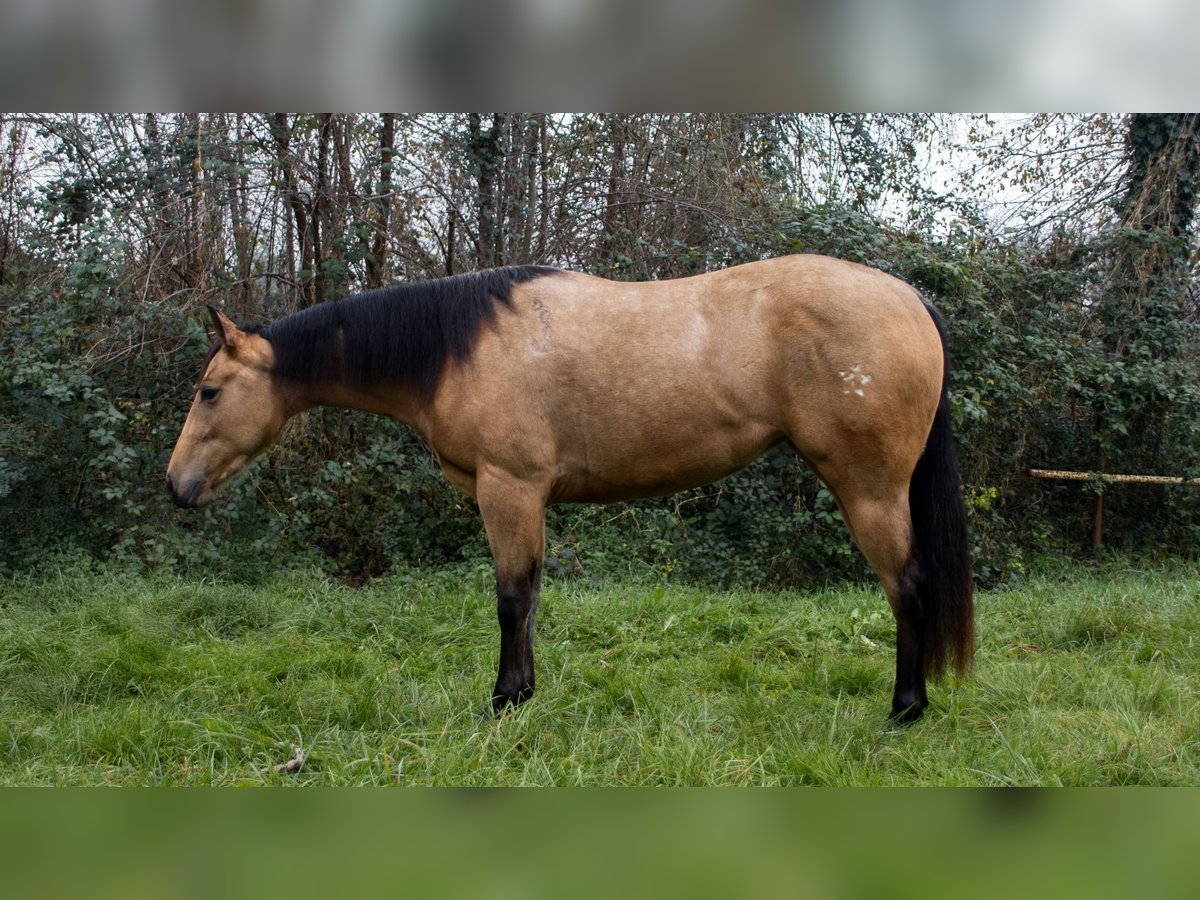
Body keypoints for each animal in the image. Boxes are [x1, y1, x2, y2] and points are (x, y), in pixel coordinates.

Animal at [166, 254, 974, 724]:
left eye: (209, 392)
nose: (177, 487)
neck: (458, 346)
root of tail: (910, 298)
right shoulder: (525, 499)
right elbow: (531, 597)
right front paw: (522, 694)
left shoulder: (508, 490)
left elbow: (509, 599)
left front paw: (502, 703)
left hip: (870, 492)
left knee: (907, 588)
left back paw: (906, 708)